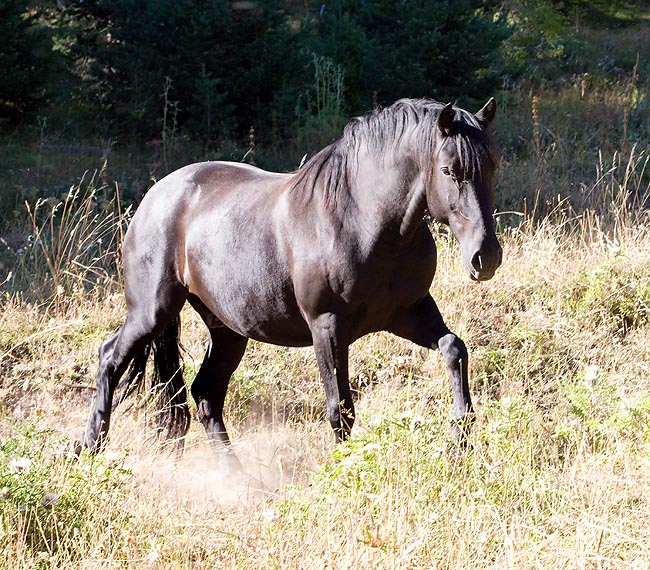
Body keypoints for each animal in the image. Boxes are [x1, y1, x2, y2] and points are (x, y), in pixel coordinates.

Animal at [81, 97, 502, 462]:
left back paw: (238, 477)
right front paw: (343, 468)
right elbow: (340, 409)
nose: (486, 257)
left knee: (206, 395)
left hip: (227, 329)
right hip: (152, 311)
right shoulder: (327, 328)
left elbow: (454, 349)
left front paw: (461, 437)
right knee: (110, 359)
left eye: (492, 167)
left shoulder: (409, 313)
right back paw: (89, 449)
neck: (363, 222)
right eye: (448, 170)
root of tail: (154, 196)